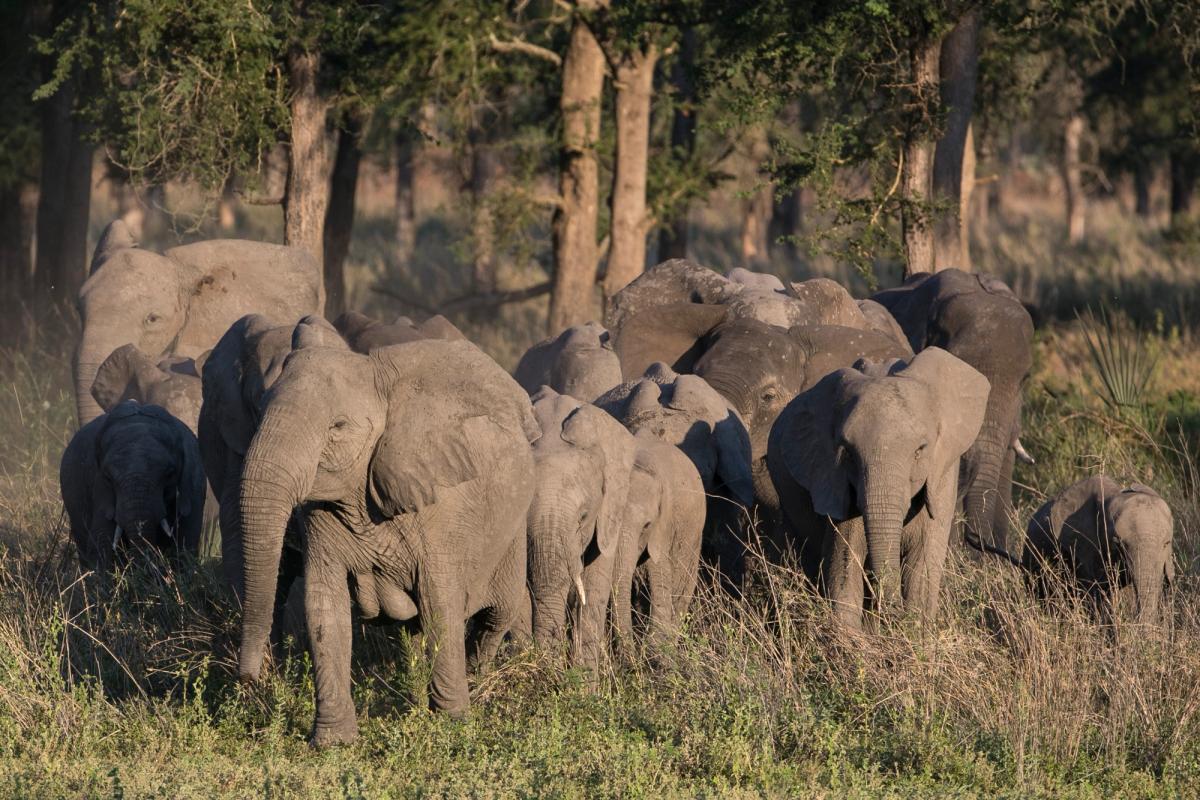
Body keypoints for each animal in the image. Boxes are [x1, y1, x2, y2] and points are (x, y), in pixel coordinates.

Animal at [60, 401, 206, 571]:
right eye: (108, 477)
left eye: (170, 473)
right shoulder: (100, 490)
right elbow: (101, 543)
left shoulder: (192, 485)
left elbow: (186, 543)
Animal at [236, 332, 539, 746]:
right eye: (259, 410)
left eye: (338, 426)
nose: (249, 681)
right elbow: (324, 606)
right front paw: (333, 744)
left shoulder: (442, 512)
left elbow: (439, 603)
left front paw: (453, 729)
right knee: (416, 632)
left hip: (512, 528)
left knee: (498, 612)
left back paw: (478, 680)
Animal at [766, 348, 990, 628]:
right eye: (848, 454)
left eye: (919, 451)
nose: (892, 612)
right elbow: (844, 570)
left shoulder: (942, 477)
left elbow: (921, 575)